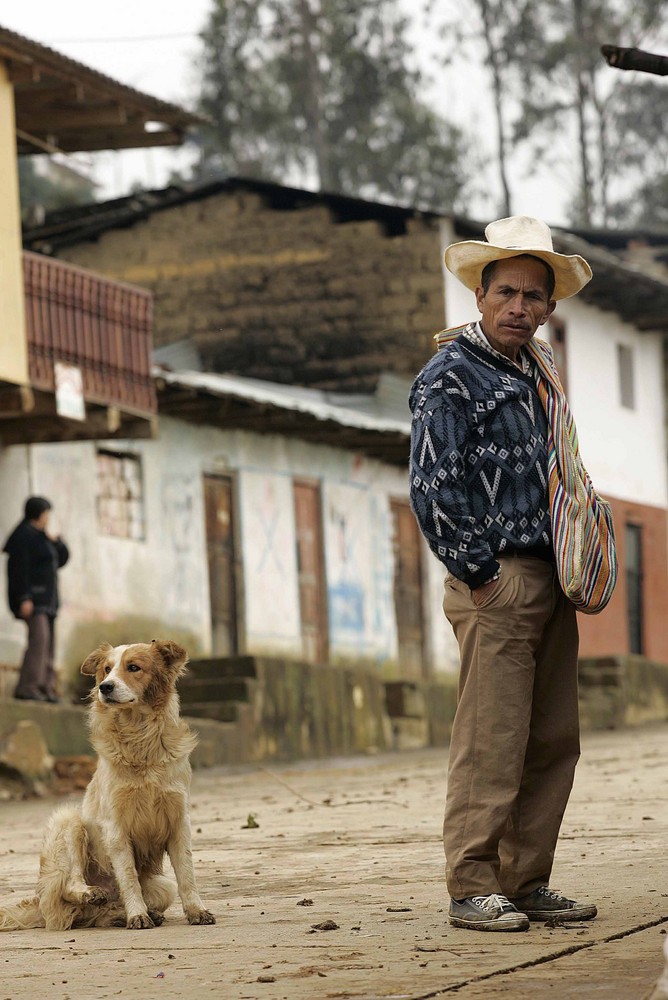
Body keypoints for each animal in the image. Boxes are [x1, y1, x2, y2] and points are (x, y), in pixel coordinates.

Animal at [0, 640, 215, 928]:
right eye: (106, 669)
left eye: (133, 667)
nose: (105, 687)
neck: (139, 740)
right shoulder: (116, 827)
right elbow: (129, 877)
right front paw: (137, 914)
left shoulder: (179, 819)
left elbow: (187, 874)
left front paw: (196, 911)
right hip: (68, 823)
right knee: (68, 888)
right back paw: (93, 894)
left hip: (163, 887)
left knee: (98, 913)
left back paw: (130, 914)